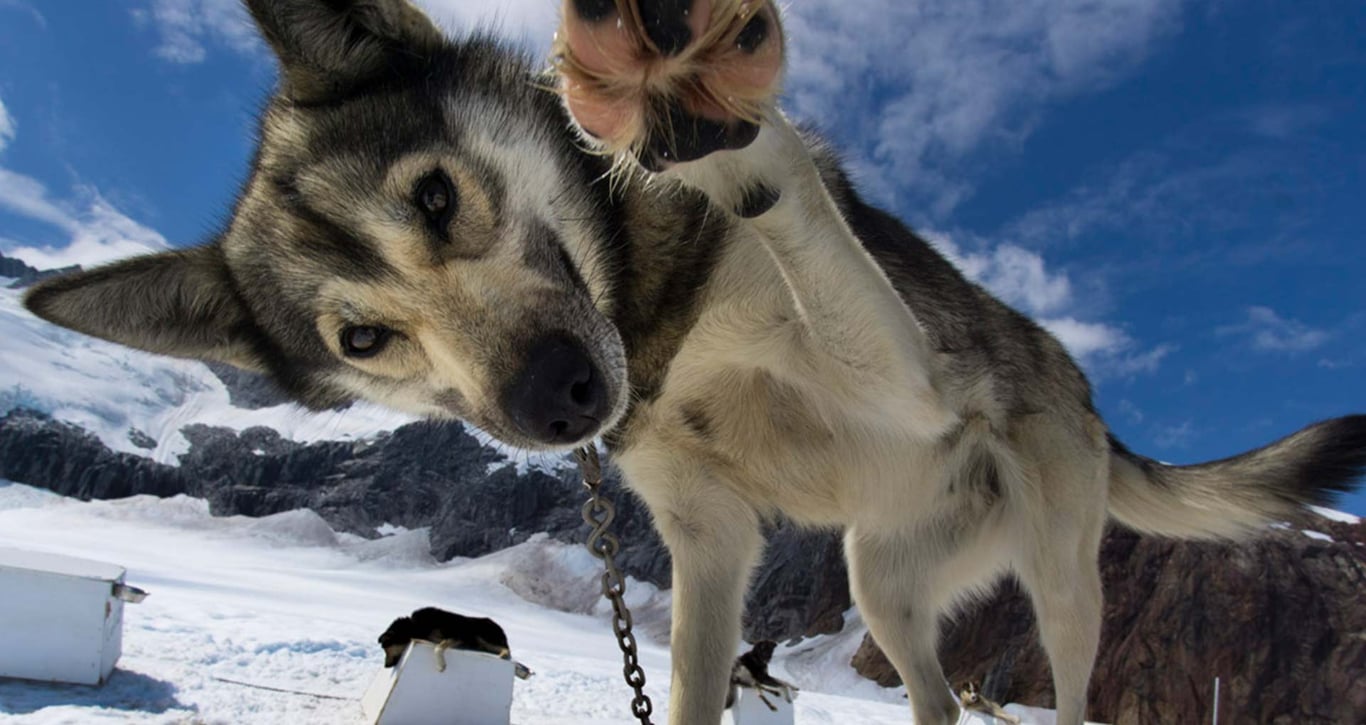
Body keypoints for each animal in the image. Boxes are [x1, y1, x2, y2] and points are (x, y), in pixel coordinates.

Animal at [385, 606, 532, 679]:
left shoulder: (456, 636)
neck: (414, 626)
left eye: (385, 647)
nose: (386, 666)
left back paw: (504, 656)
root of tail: (500, 628)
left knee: (507, 650)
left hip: (481, 635)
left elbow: (438, 648)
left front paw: (441, 665)